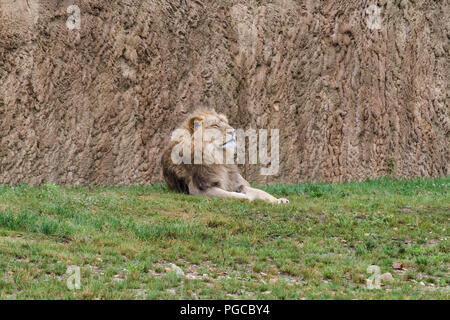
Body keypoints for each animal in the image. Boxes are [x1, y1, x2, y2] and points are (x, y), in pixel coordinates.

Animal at [160, 107, 290, 204]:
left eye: (227, 124)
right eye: (215, 126)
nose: (233, 131)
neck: (219, 158)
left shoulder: (236, 183)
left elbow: (260, 191)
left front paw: (278, 200)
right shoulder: (198, 189)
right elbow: (228, 194)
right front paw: (246, 198)